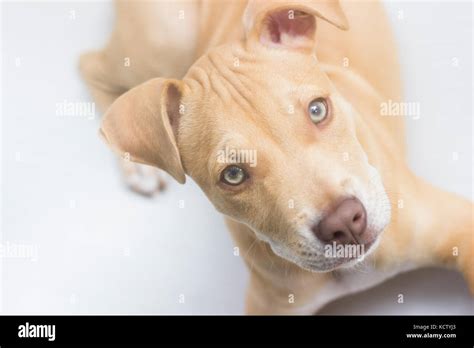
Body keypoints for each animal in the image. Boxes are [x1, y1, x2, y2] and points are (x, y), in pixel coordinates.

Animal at [79, 0, 472, 314]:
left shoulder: (460, 225)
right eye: (233, 175)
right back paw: (139, 169)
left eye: (318, 109)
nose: (345, 223)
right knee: (90, 65)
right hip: (164, 38)